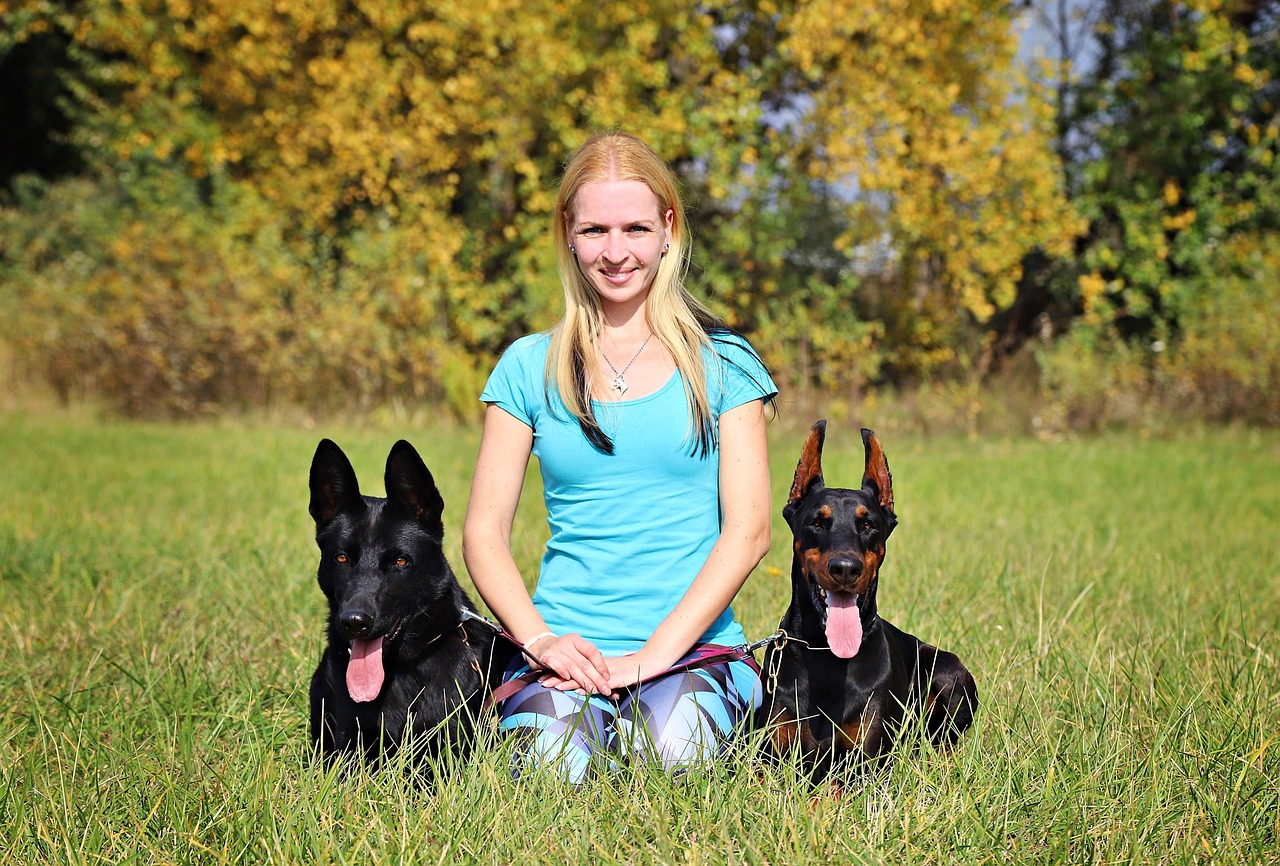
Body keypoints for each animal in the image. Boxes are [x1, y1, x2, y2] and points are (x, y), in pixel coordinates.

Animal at [307, 440, 512, 762]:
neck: (399, 670)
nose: (354, 622)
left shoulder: (450, 752)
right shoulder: (348, 751)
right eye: (341, 558)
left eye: (400, 561)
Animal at [752, 422, 972, 777]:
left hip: (949, 672)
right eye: (817, 522)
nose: (845, 568)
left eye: (868, 524)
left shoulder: (863, 763)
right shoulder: (770, 757)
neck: (825, 653)